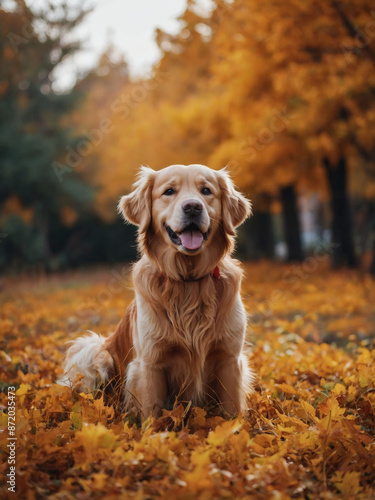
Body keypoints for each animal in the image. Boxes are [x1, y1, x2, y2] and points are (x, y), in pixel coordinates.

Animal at [62, 165, 256, 418]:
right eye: (169, 191)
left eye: (206, 190)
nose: (192, 207)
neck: (187, 281)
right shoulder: (150, 363)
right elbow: (151, 412)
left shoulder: (229, 358)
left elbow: (232, 410)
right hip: (95, 353)